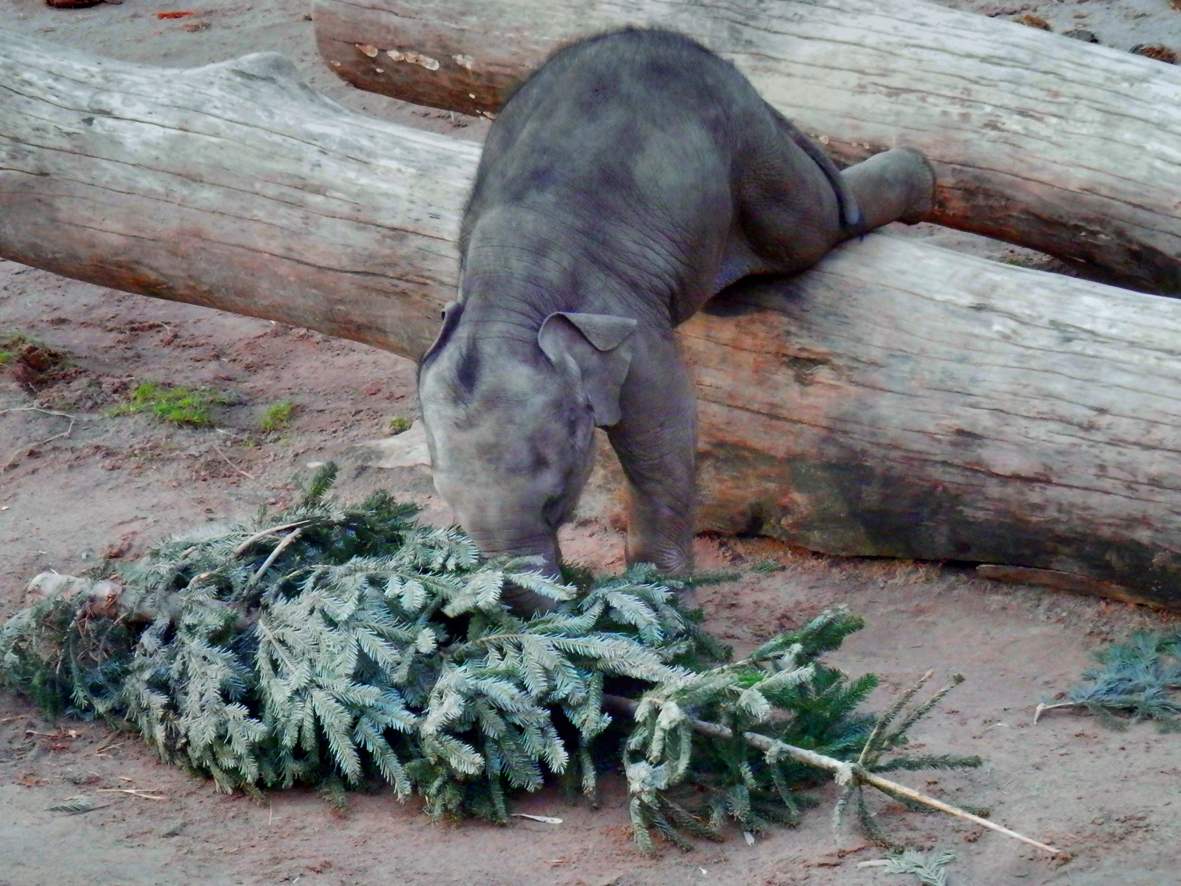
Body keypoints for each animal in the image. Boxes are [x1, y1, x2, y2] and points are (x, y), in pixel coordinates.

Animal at [420, 29, 935, 609]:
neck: (507, 291)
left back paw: (920, 177)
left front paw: (662, 604)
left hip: (752, 159)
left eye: (555, 499)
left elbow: (664, 424)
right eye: (448, 504)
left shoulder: (622, 308)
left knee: (812, 226)